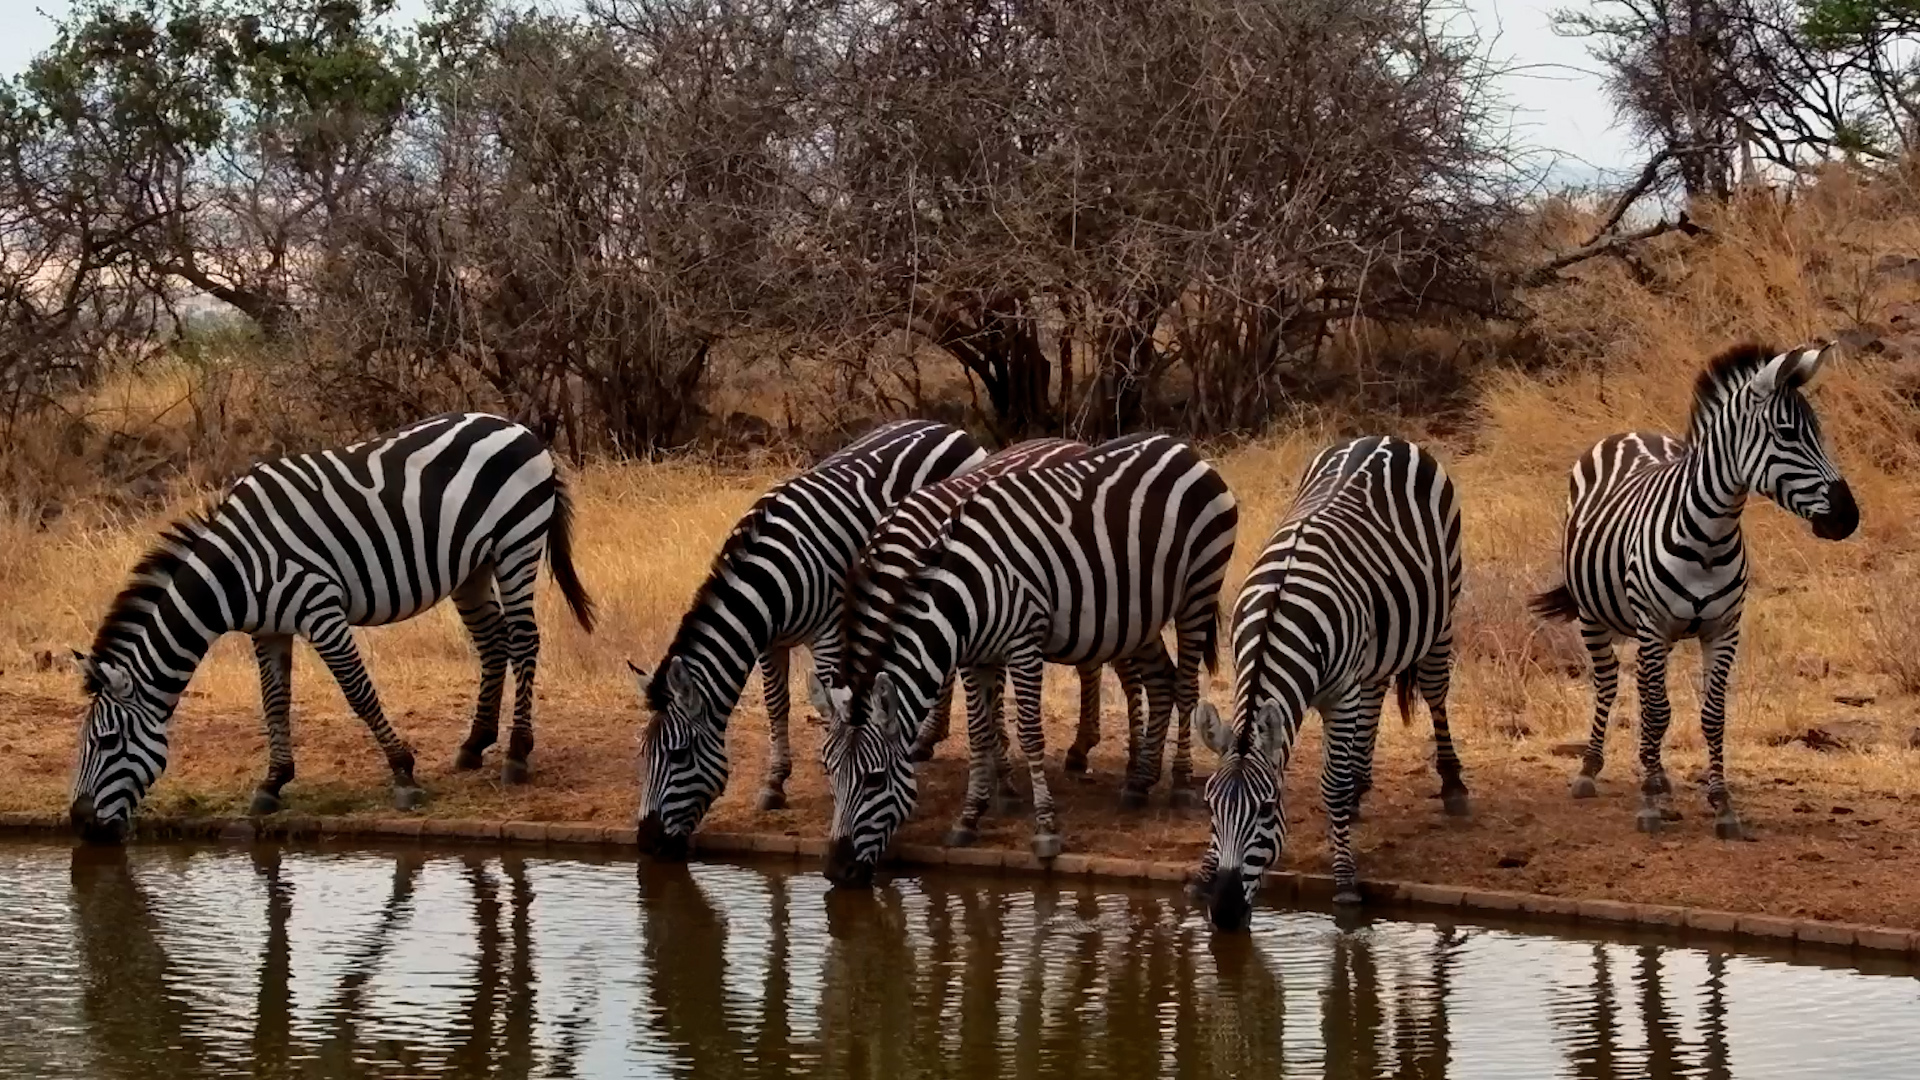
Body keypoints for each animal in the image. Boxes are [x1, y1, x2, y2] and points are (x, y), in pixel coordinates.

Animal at [68, 412, 596, 843]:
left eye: (107, 742)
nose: (79, 823)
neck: (234, 573)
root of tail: (520, 429)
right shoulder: (268, 629)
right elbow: (274, 703)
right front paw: (273, 783)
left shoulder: (320, 609)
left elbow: (358, 692)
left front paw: (403, 773)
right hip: (473, 567)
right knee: (492, 641)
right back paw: (474, 744)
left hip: (516, 544)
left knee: (524, 639)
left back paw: (517, 753)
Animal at [627, 419, 985, 859]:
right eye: (643, 754)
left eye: (678, 755)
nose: (646, 842)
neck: (768, 581)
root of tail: (946, 426)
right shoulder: (770, 641)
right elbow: (776, 704)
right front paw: (775, 783)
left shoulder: (829, 632)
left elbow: (834, 705)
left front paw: (834, 771)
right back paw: (928, 738)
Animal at [811, 432, 1238, 887]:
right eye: (829, 772)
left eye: (874, 780)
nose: (836, 869)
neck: (965, 591)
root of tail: (1181, 447)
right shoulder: (974, 655)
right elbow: (979, 731)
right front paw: (970, 816)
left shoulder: (1023, 644)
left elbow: (1030, 733)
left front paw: (1045, 829)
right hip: (1138, 611)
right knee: (1160, 682)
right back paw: (1140, 782)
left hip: (1198, 590)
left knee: (1185, 685)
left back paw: (1178, 782)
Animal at [1192, 435, 1467, 928]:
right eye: (1209, 807)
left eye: (1266, 810)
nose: (1223, 913)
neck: (1277, 618)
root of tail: (1385, 437)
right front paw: (1203, 874)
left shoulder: (1340, 693)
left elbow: (1331, 787)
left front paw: (1345, 881)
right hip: (1377, 642)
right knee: (1377, 690)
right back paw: (1362, 782)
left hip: (1442, 611)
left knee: (1435, 692)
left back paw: (1453, 785)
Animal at [1530, 341, 1858, 840]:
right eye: (1787, 434)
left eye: (1817, 432)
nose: (1848, 517)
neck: (1710, 536)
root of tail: (1630, 432)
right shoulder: (1653, 625)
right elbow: (1656, 710)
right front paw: (1649, 802)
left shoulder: (1723, 629)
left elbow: (1710, 714)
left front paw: (1721, 804)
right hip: (1595, 615)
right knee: (1610, 686)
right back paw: (1590, 770)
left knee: (1646, 694)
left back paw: (1658, 777)